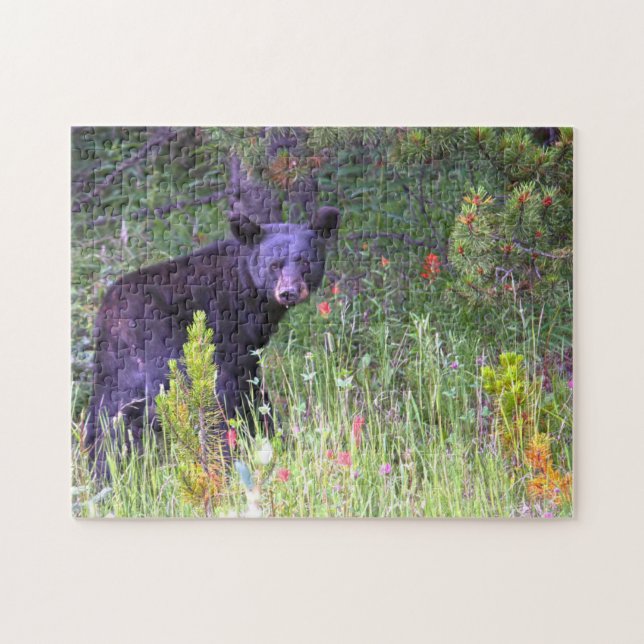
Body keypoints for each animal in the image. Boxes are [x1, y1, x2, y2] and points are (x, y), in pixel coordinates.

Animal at [85, 206, 340, 475]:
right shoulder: (229, 334)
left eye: (305, 261)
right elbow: (243, 387)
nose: (288, 292)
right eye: (274, 265)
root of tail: (112, 314)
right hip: (163, 347)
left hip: (114, 366)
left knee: (106, 416)